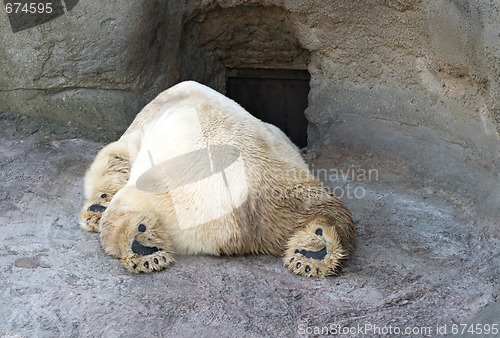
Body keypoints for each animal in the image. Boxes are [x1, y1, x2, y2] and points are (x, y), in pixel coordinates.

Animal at [81, 80, 356, 276]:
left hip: (166, 193)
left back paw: (142, 247)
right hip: (286, 187)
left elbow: (114, 156)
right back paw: (313, 251)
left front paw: (96, 207)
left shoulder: (144, 124)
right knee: (327, 206)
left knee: (122, 211)